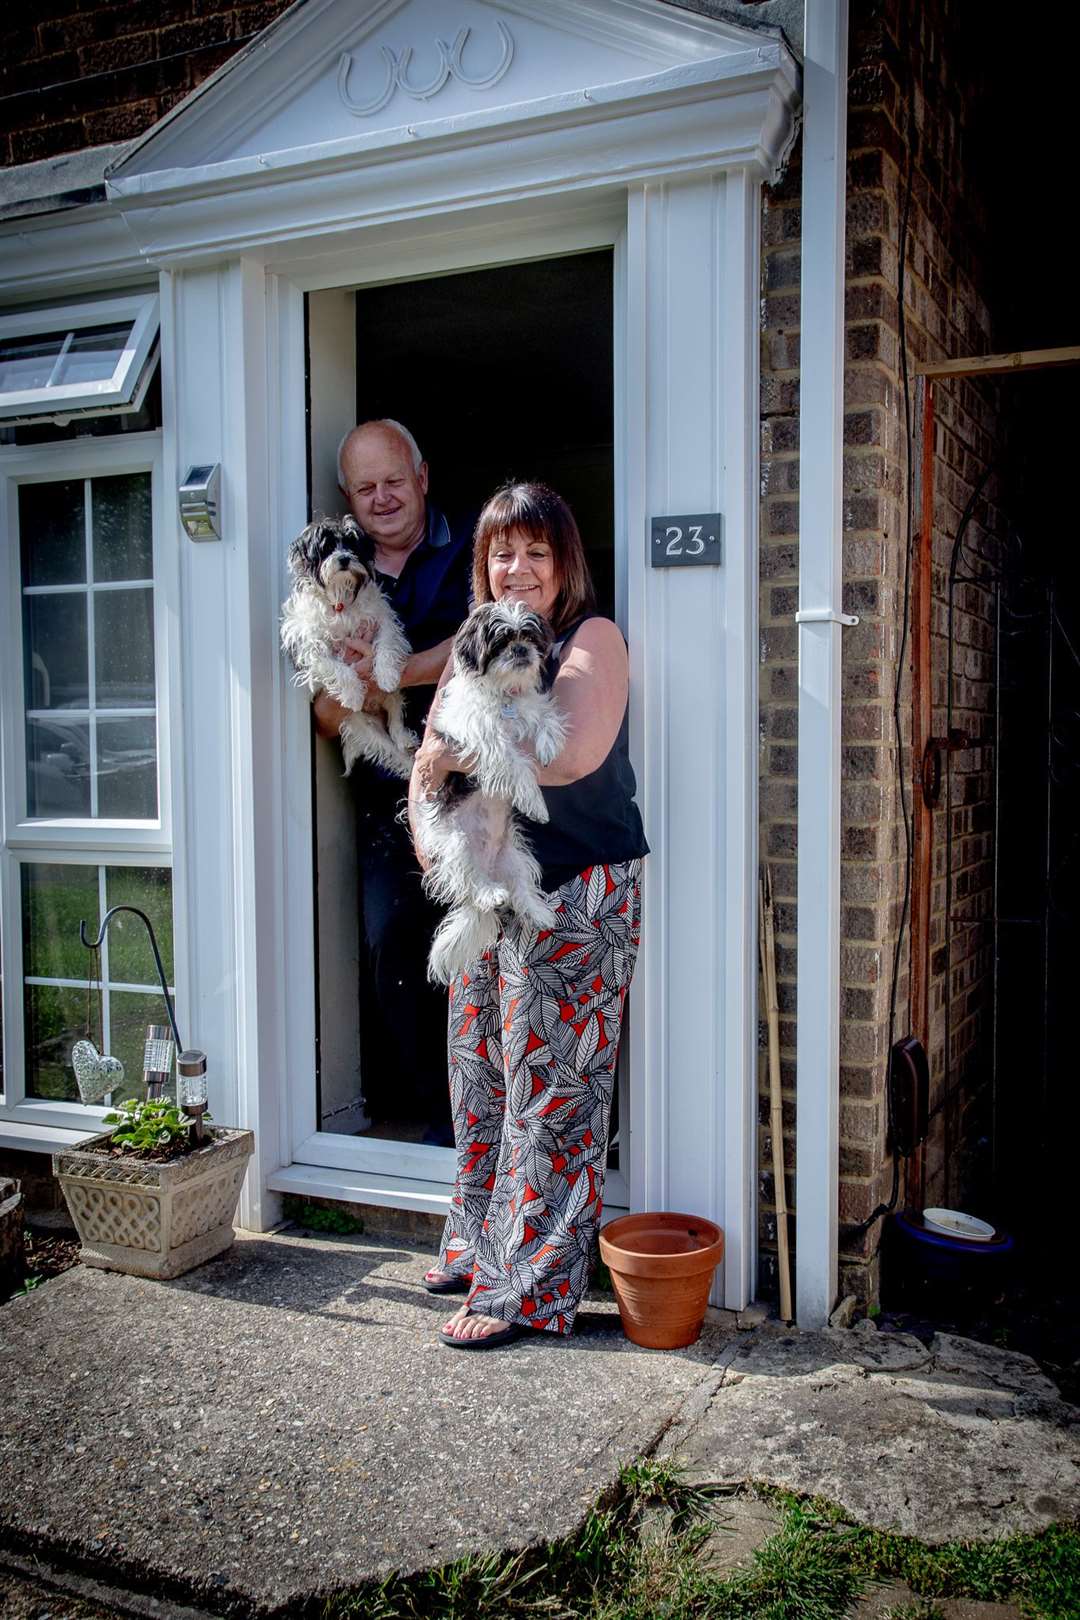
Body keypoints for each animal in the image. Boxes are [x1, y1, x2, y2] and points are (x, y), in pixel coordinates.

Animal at [278, 511, 417, 777]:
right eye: (327, 546)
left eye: (352, 544)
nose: (343, 558)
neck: (340, 602)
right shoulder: (312, 648)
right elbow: (338, 669)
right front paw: (352, 694)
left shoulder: (381, 620)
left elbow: (385, 646)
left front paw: (386, 675)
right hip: (364, 727)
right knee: (391, 752)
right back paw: (410, 765)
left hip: (391, 701)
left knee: (395, 716)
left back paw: (405, 739)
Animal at [414, 602, 566, 984]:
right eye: (500, 642)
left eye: (528, 636)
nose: (521, 650)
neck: (504, 694)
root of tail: (491, 867)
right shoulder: (483, 738)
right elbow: (514, 760)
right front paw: (535, 802)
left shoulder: (529, 708)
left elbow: (544, 717)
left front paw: (548, 744)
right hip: (456, 846)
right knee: (474, 883)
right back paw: (489, 892)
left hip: (515, 856)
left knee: (521, 887)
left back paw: (537, 911)